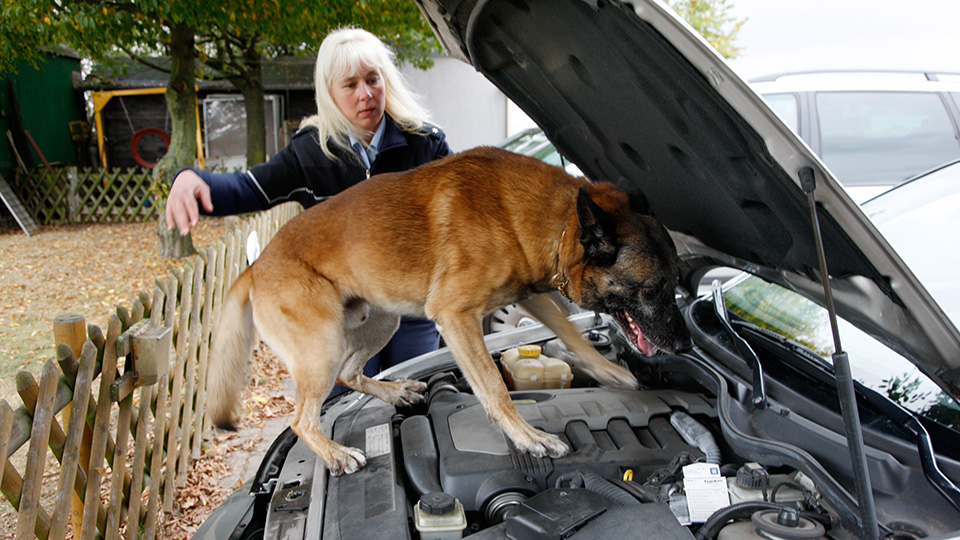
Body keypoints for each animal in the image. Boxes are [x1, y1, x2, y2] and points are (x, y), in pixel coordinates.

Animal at [208, 146, 688, 474]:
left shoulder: (531, 293)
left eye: (675, 282)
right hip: (322, 345)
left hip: (382, 320)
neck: (557, 224)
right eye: (653, 289)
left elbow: (569, 331)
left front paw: (607, 370)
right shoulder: (457, 317)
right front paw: (528, 437)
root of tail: (254, 267)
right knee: (301, 420)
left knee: (349, 373)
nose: (684, 345)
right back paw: (335, 453)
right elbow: (494, 387)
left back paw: (395, 393)